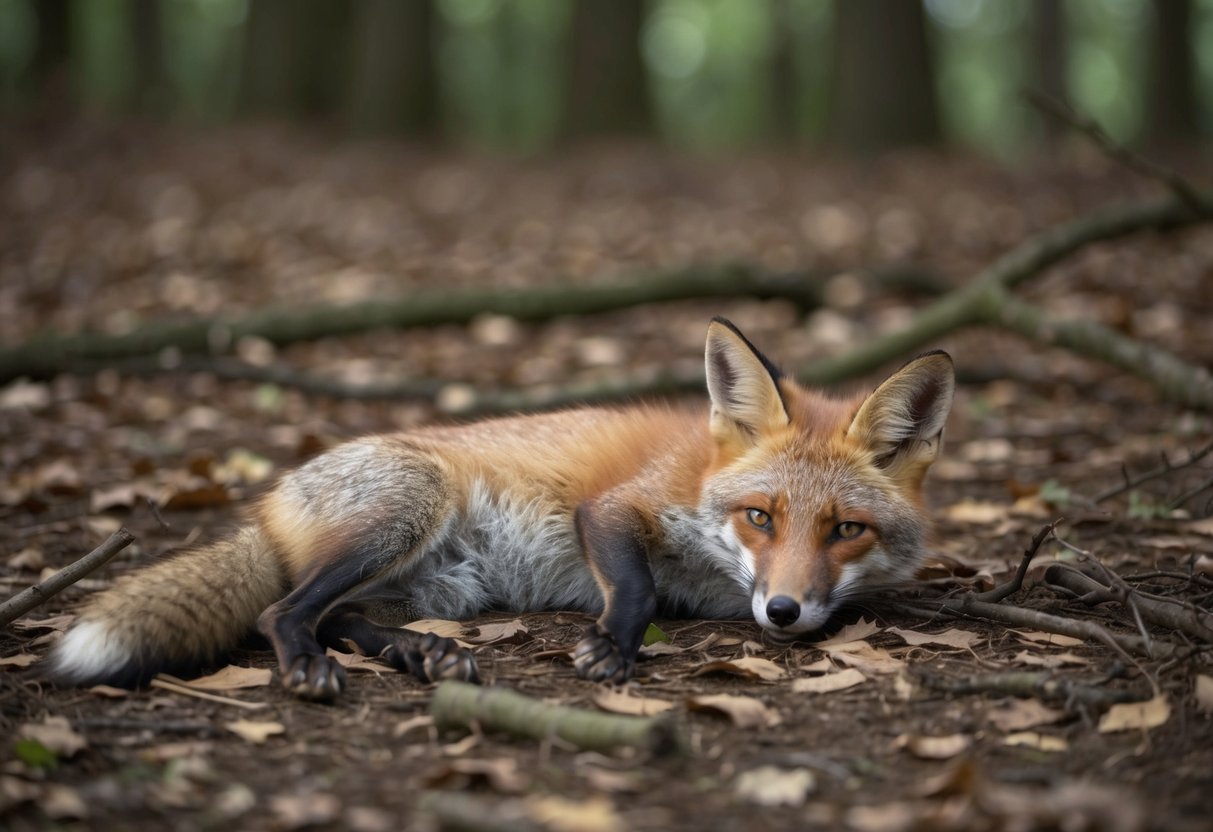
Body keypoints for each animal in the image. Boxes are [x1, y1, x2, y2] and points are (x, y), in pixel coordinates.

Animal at [47, 318, 953, 700]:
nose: (783, 610)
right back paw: (313, 664)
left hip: (441, 587)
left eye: (845, 529)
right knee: (284, 610)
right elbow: (635, 589)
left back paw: (420, 654)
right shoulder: (614, 507)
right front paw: (610, 649)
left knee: (342, 617)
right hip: (409, 507)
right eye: (760, 517)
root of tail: (272, 499)